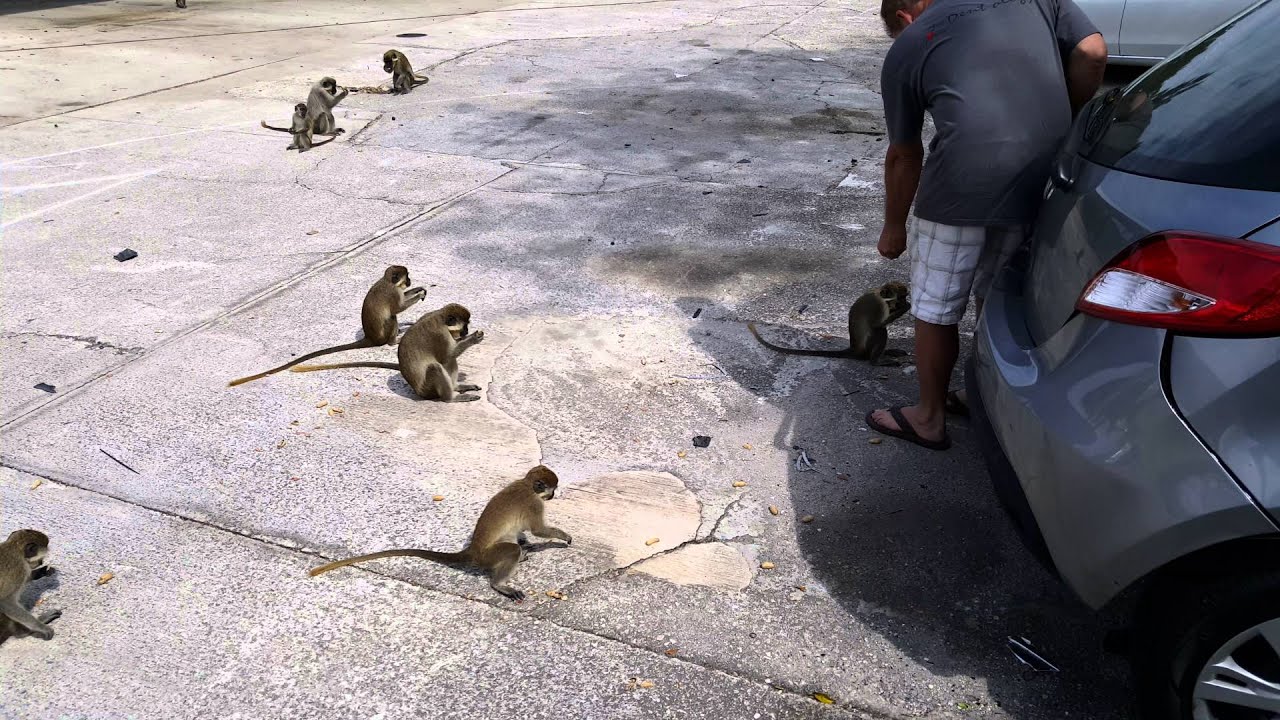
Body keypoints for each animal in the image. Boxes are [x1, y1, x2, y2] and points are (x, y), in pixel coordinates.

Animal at [228, 266, 427, 387]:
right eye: (407, 277)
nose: (410, 281)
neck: (387, 282)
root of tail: (370, 338)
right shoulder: (392, 292)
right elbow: (398, 308)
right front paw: (418, 294)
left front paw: (418, 289)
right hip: (383, 334)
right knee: (392, 317)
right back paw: (394, 340)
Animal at [289, 303, 484, 402]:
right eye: (465, 326)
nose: (466, 332)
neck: (440, 318)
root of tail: (419, 392)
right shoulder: (441, 335)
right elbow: (446, 356)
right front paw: (474, 338)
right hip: (428, 389)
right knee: (437, 366)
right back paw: (450, 398)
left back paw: (457, 387)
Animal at [309, 465, 571, 601]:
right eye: (552, 490)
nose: (554, 496)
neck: (528, 486)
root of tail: (472, 551)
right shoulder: (534, 503)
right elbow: (537, 529)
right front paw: (562, 537)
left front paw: (529, 544)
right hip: (489, 556)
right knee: (511, 550)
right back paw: (500, 583)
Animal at [748, 281, 912, 366]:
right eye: (901, 297)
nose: (903, 302)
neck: (879, 295)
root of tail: (854, 349)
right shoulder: (878, 306)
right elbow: (877, 325)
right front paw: (907, 307)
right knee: (880, 331)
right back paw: (875, 361)